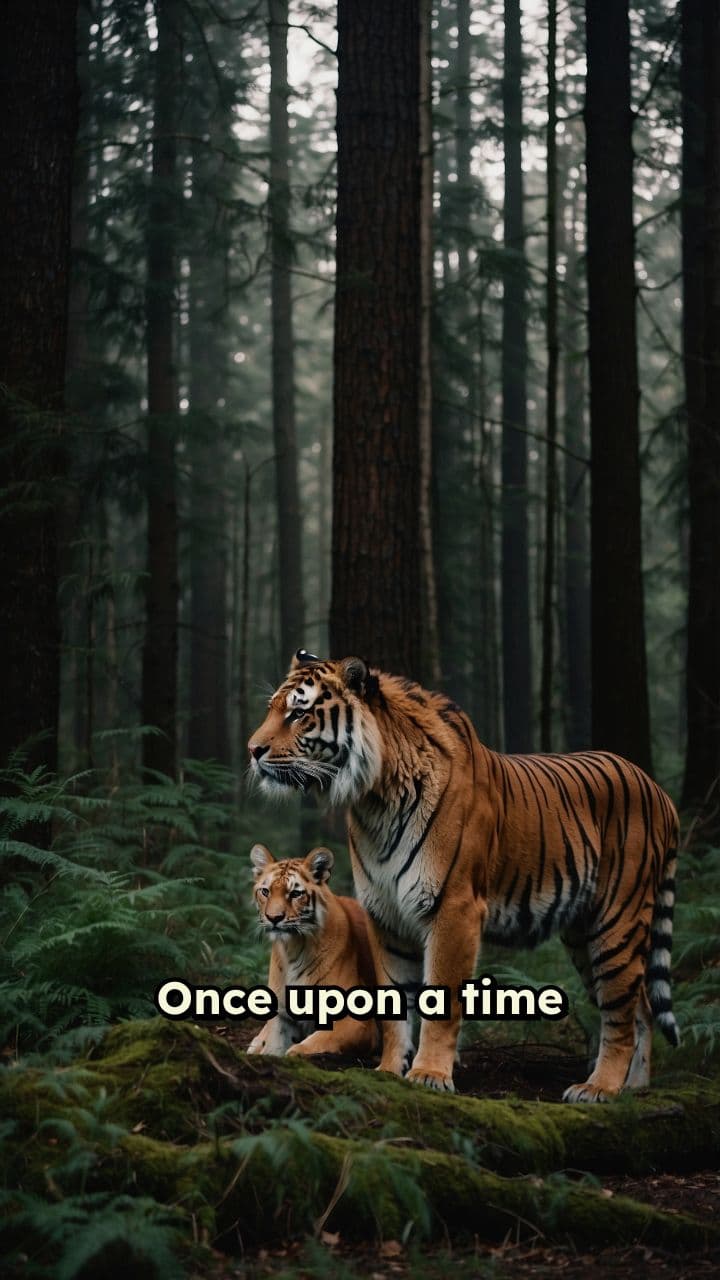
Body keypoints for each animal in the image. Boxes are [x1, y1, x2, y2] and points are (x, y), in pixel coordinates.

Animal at [247, 841, 378, 1059]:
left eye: (295, 894)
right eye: (265, 892)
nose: (273, 918)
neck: (293, 948)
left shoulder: (356, 1021)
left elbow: (309, 1044)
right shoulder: (281, 1016)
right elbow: (272, 1047)